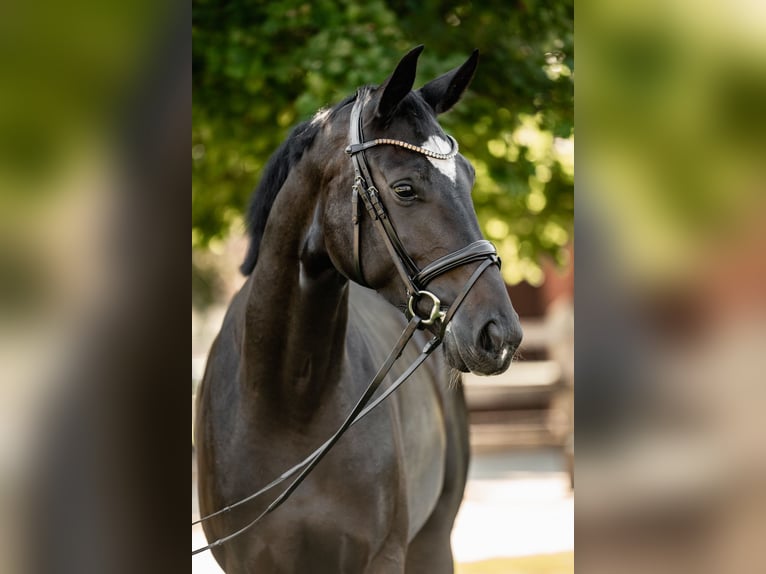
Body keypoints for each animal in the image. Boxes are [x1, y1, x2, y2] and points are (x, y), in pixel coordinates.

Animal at [195, 47, 524, 572]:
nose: (500, 334)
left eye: (470, 177)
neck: (289, 401)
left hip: (434, 541)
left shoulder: (383, 557)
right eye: (405, 188)